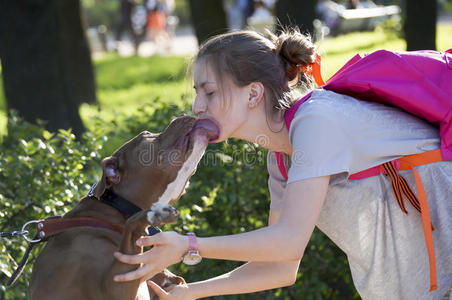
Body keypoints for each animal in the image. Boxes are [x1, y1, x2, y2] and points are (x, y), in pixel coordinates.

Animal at [28, 115, 219, 300]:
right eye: (146, 135)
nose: (180, 115)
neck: (114, 209)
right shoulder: (112, 287)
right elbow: (132, 225)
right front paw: (154, 213)